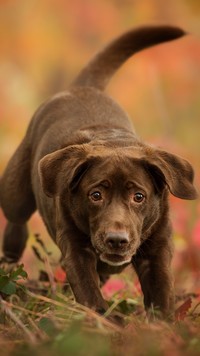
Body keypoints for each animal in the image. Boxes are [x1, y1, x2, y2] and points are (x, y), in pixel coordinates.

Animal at [0, 25, 197, 320]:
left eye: (139, 196)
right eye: (95, 195)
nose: (117, 240)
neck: (112, 141)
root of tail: (82, 87)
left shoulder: (158, 249)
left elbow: (161, 291)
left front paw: (161, 324)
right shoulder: (75, 248)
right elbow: (88, 290)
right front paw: (104, 320)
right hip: (16, 192)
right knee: (16, 221)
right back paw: (10, 260)